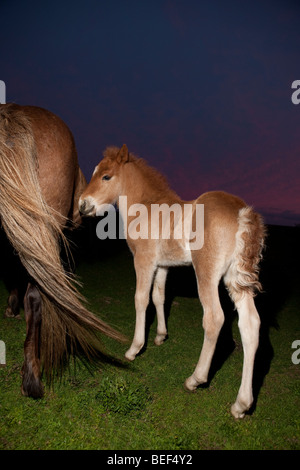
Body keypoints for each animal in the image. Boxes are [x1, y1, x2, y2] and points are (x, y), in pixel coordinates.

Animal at [79, 145, 264, 416]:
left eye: (106, 176)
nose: (82, 205)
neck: (147, 206)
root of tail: (242, 212)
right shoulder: (163, 265)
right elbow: (159, 297)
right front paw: (160, 336)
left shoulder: (144, 261)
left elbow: (141, 299)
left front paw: (135, 348)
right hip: (236, 279)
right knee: (250, 324)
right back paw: (241, 404)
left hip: (206, 273)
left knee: (214, 319)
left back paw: (195, 379)